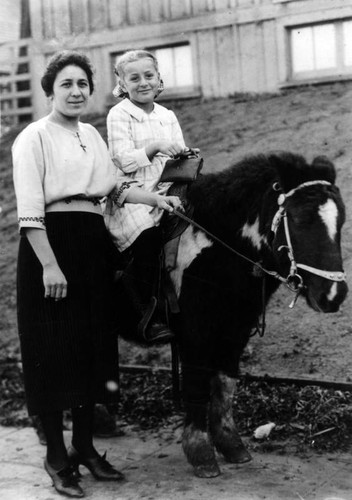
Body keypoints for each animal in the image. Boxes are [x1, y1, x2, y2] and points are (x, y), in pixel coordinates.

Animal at [115, 151, 346, 476]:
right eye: (300, 220)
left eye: (341, 220)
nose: (333, 295)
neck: (217, 244)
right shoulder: (195, 334)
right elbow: (197, 385)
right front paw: (201, 452)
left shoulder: (235, 330)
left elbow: (225, 385)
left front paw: (231, 445)